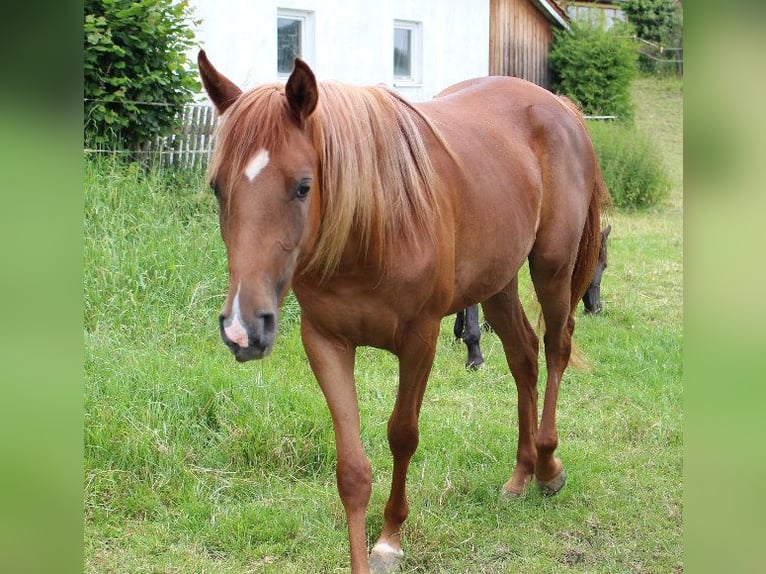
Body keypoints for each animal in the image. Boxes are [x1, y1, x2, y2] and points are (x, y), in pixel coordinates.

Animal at [200, 50, 612, 574]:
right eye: (218, 188)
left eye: (303, 186)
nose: (243, 328)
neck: (372, 227)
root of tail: (558, 105)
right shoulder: (326, 343)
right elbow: (352, 469)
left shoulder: (420, 339)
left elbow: (402, 434)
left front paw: (390, 539)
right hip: (497, 280)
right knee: (523, 356)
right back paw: (521, 475)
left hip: (552, 267)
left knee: (557, 348)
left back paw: (548, 466)